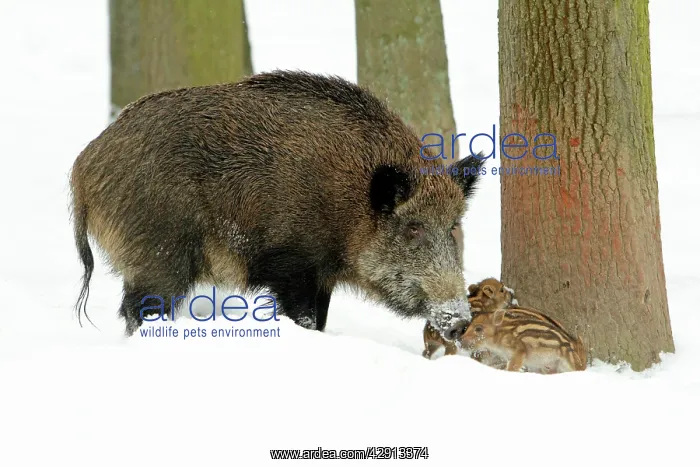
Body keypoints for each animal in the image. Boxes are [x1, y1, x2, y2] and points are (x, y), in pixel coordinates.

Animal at [69, 70, 486, 337]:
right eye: (413, 227)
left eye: (453, 227)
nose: (460, 322)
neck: (350, 207)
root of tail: (84, 165)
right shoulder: (292, 266)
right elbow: (303, 319)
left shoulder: (322, 278)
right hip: (159, 257)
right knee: (137, 310)